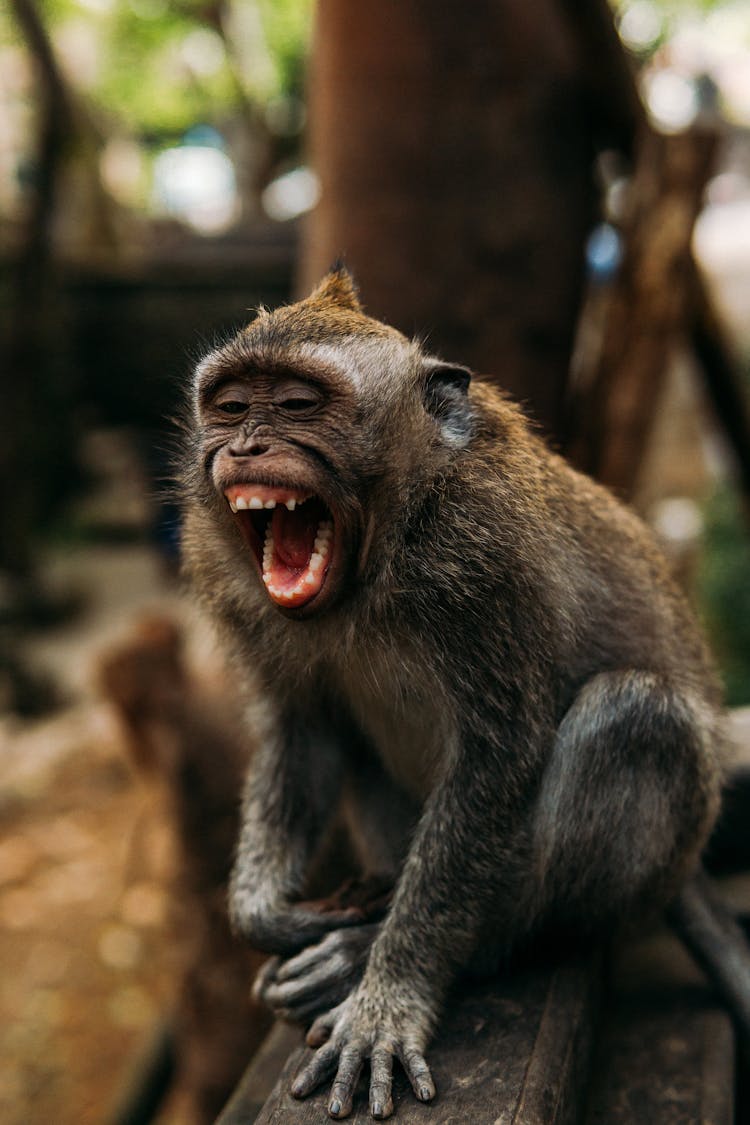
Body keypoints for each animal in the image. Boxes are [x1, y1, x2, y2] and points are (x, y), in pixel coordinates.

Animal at [178, 267, 742, 1120]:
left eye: (300, 404)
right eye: (233, 406)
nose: (244, 447)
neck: (385, 549)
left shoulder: (484, 557)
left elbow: (495, 758)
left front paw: (389, 994)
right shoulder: (230, 578)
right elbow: (304, 730)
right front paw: (268, 914)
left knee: (634, 716)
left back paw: (421, 949)